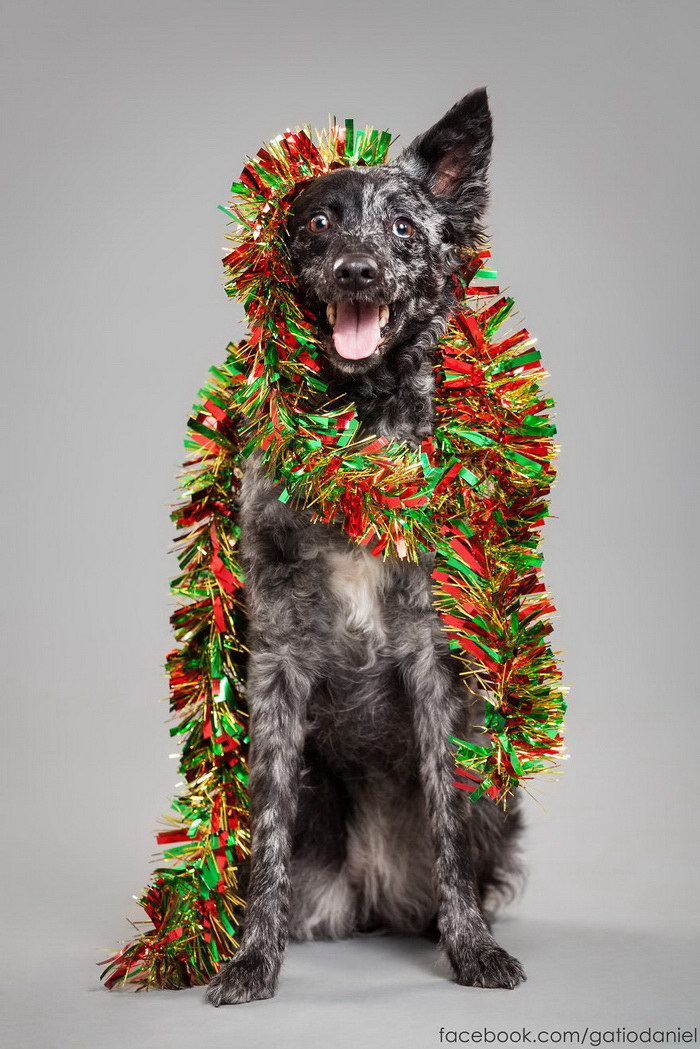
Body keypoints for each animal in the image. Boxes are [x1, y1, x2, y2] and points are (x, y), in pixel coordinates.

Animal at [206, 90, 524, 1007]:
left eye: (405, 228)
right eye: (318, 221)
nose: (356, 271)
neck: (357, 433)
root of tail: (376, 890)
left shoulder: (432, 653)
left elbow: (449, 818)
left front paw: (471, 948)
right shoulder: (277, 656)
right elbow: (268, 827)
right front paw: (253, 958)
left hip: (498, 788)